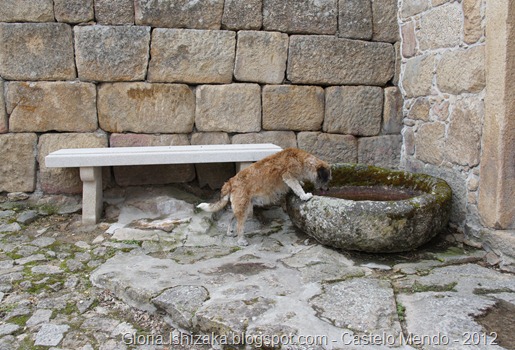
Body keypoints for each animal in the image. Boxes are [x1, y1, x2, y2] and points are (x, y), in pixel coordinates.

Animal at [196, 148, 332, 246]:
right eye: (327, 179)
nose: (328, 189)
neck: (302, 160)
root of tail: (230, 182)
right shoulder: (288, 176)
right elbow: (297, 187)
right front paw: (304, 195)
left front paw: (303, 185)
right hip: (244, 209)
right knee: (240, 226)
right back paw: (241, 241)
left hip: (243, 208)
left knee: (231, 218)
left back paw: (229, 232)